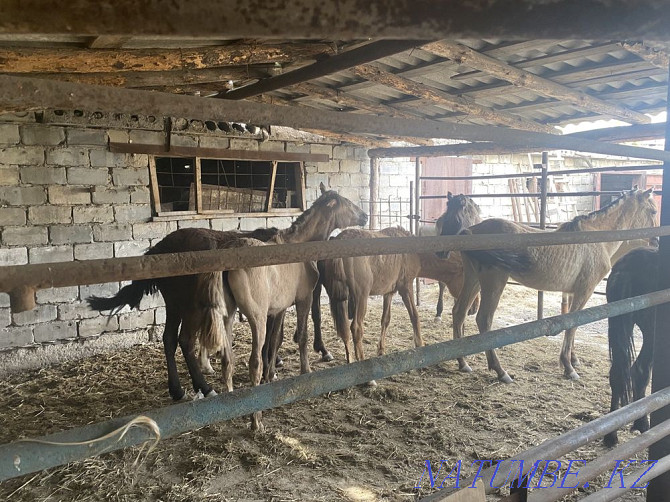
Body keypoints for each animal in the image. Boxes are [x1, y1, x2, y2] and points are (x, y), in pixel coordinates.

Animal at [454, 186, 660, 382]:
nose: (657, 240)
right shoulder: (584, 290)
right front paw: (569, 367)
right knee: (484, 319)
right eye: (653, 211)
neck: (596, 239)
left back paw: (463, 362)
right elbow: (573, 324)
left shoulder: (572, 292)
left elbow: (572, 322)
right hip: (494, 282)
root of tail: (472, 230)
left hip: (474, 280)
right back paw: (500, 371)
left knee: (459, 312)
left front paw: (573, 359)